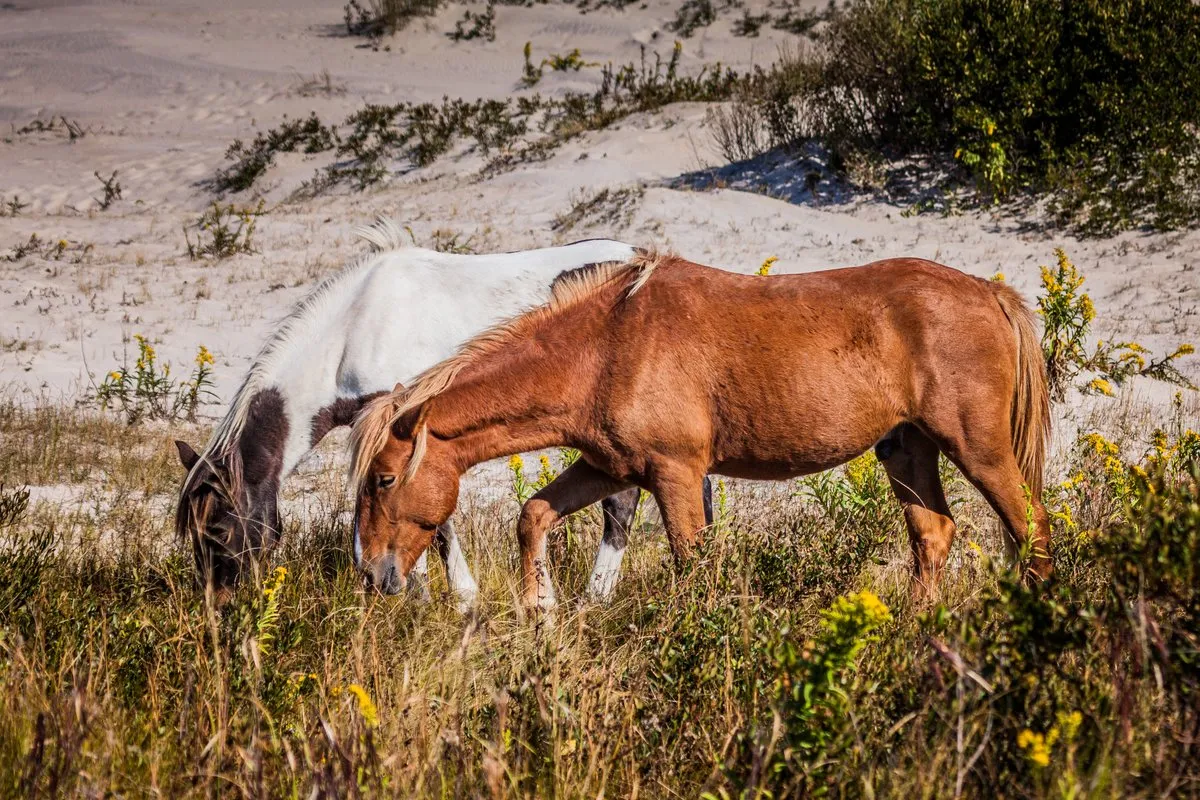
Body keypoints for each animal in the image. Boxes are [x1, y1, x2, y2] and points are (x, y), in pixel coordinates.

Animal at [174, 220, 710, 607]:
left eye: (217, 529)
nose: (220, 607)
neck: (354, 330)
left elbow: (433, 522)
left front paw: (451, 598)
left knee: (621, 505)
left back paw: (596, 598)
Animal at [348, 252, 1052, 612]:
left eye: (382, 480)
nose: (374, 574)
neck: (606, 346)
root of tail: (989, 293)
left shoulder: (676, 473)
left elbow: (691, 563)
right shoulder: (608, 467)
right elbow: (534, 515)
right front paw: (541, 613)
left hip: (979, 450)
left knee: (1032, 528)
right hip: (906, 452)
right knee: (934, 537)